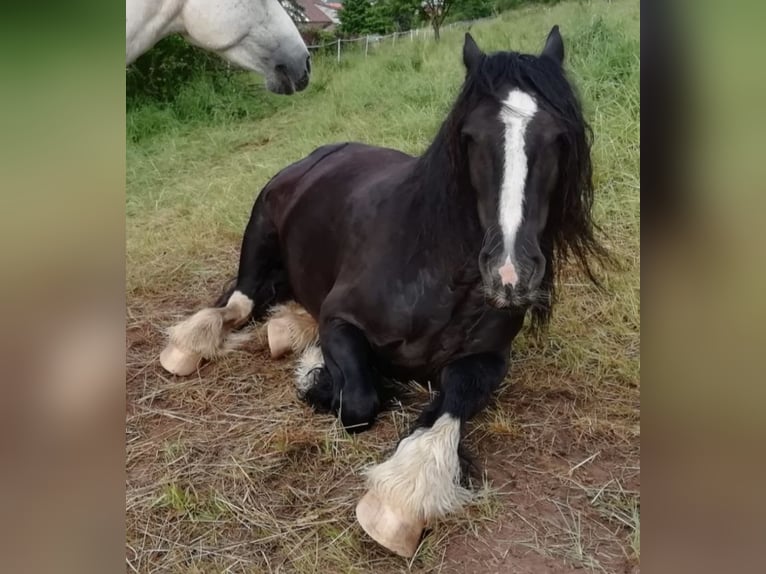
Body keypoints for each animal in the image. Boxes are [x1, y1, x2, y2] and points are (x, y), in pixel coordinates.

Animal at [159, 27, 606, 557]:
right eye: (470, 137)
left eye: (559, 138)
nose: (510, 273)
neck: (433, 274)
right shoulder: (339, 323)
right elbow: (358, 402)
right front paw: (318, 379)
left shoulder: (487, 361)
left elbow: (449, 410)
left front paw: (400, 503)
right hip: (255, 244)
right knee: (237, 302)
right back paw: (189, 345)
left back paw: (286, 329)